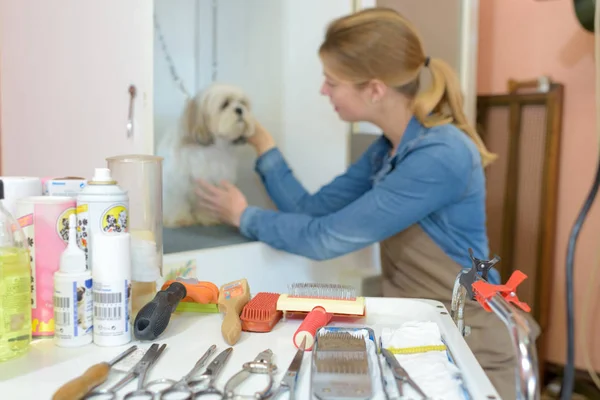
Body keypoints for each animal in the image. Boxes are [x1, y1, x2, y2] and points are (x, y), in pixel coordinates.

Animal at [156, 83, 254, 227]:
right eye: (225, 104)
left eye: (242, 103)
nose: (240, 110)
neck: (211, 149)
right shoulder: (175, 182)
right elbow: (177, 201)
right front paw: (180, 218)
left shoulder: (211, 185)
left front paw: (208, 218)